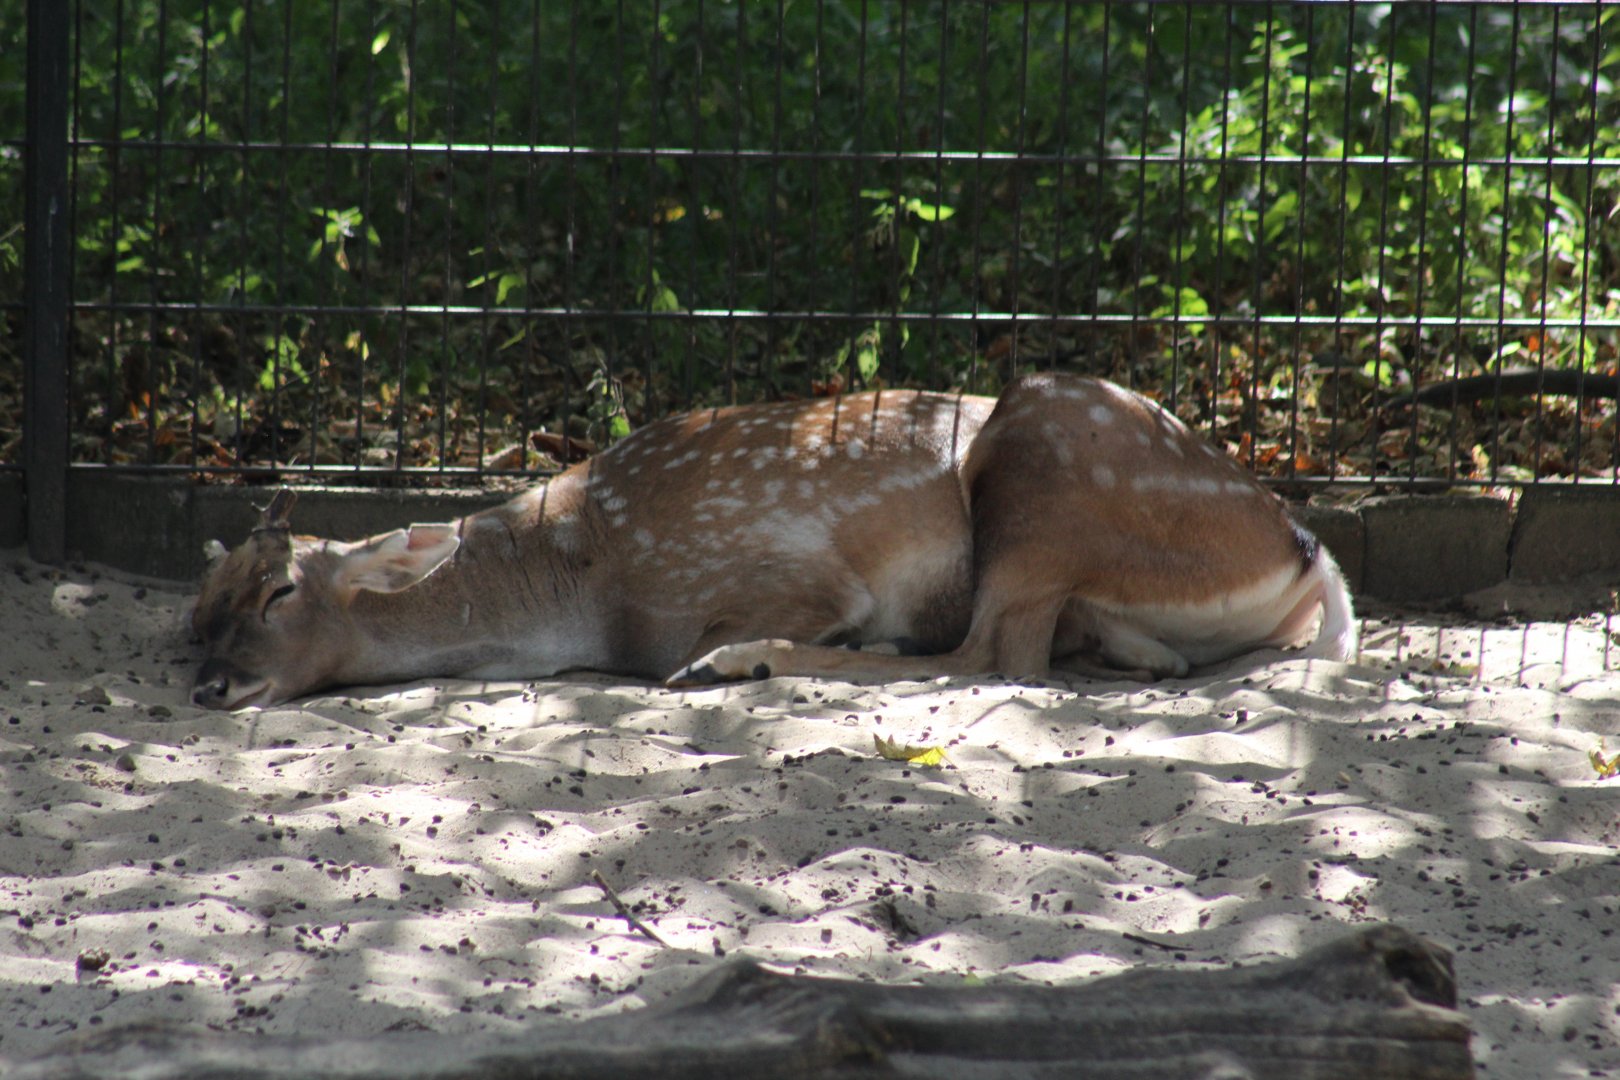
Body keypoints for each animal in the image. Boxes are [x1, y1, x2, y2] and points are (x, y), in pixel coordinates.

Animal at [190, 373, 1357, 709]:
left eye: (281, 592)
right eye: (196, 611)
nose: (210, 683)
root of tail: (1305, 548)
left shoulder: (785, 572)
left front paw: (733, 651)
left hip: (1045, 472)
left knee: (990, 656)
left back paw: (743, 661)